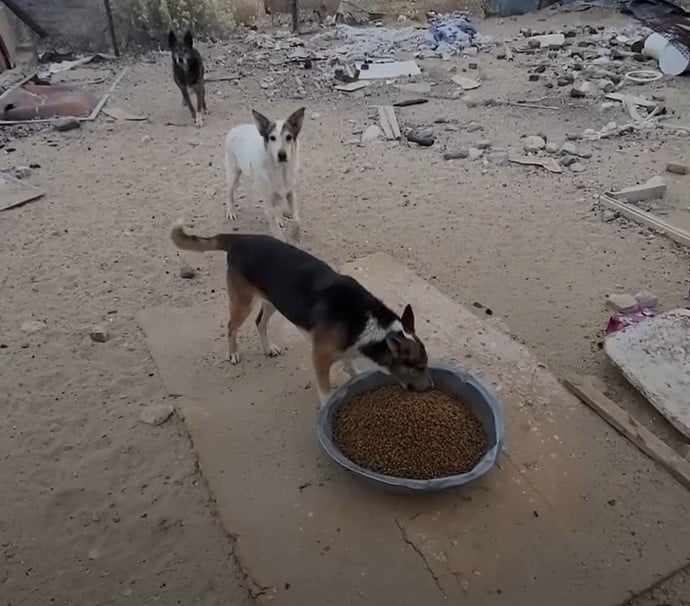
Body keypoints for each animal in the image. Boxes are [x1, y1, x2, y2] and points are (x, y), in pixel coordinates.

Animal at [171, 223, 430, 408]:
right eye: (418, 367)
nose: (431, 386)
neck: (366, 321)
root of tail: (240, 239)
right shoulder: (320, 358)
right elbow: (326, 391)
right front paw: (327, 405)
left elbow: (349, 364)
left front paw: (355, 375)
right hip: (242, 302)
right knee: (231, 327)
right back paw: (233, 352)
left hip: (274, 301)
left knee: (259, 322)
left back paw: (268, 348)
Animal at [223, 107, 304, 242]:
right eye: (272, 138)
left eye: (289, 137)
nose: (282, 155)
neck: (280, 170)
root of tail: (235, 128)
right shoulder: (268, 203)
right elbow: (277, 231)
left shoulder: (290, 192)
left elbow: (297, 218)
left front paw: (295, 234)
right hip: (232, 174)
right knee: (229, 193)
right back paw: (231, 212)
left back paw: (280, 219)